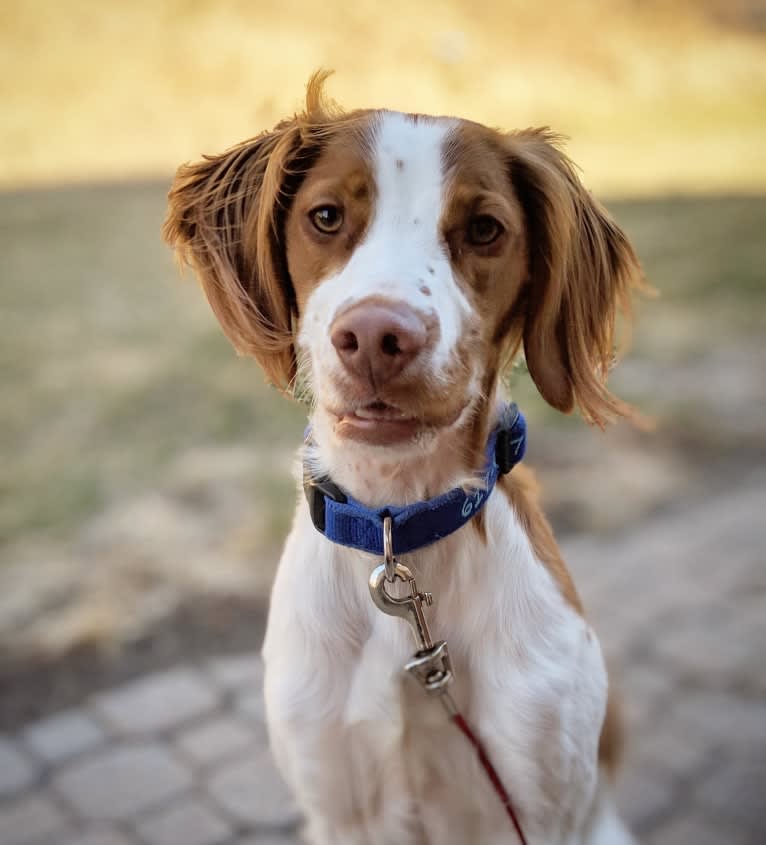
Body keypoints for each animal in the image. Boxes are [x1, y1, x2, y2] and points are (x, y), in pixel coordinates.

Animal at [165, 72, 644, 844]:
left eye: (485, 229)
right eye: (326, 215)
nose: (376, 336)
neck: (400, 530)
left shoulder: (542, 802)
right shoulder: (335, 803)